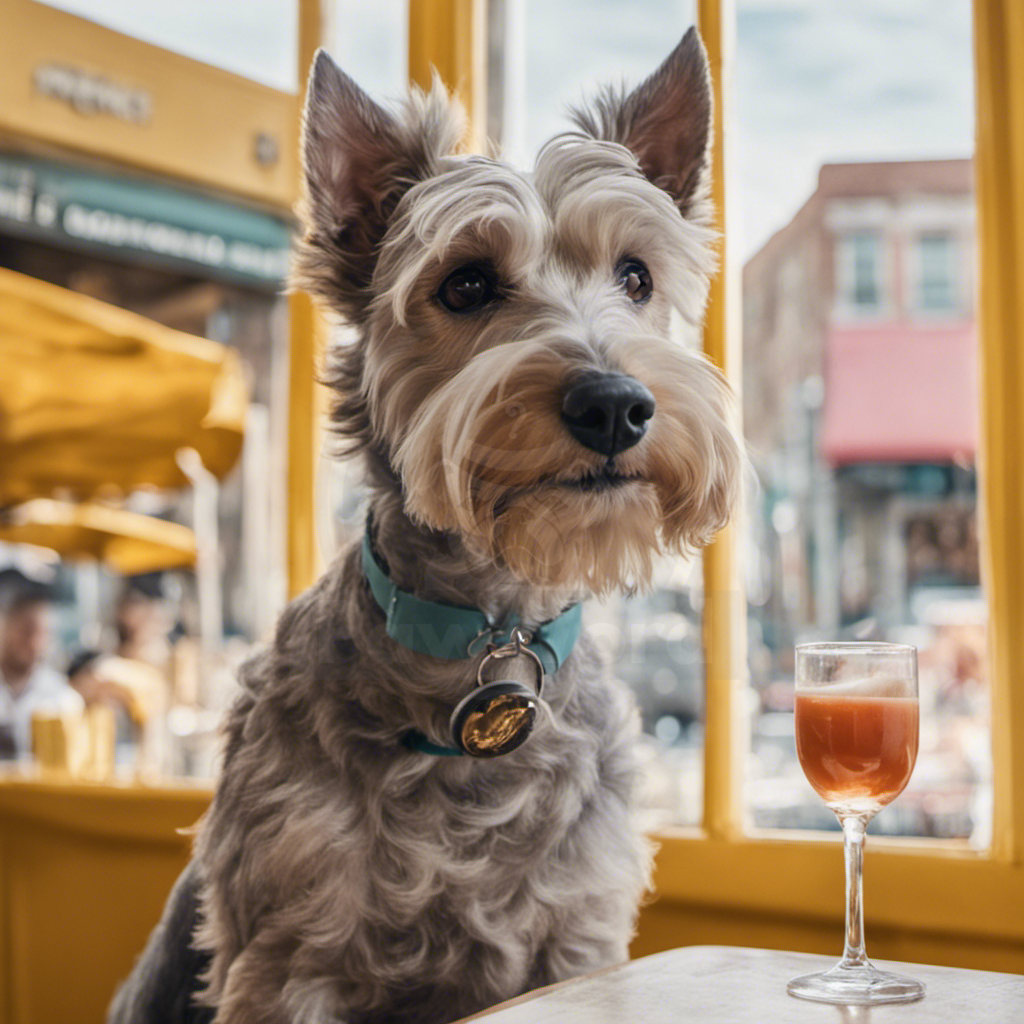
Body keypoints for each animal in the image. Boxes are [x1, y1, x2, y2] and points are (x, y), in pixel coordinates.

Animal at [108, 24, 741, 1024]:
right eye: (468, 283)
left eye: (635, 276)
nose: (616, 404)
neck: (492, 629)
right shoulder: (290, 957)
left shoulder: (577, 942)